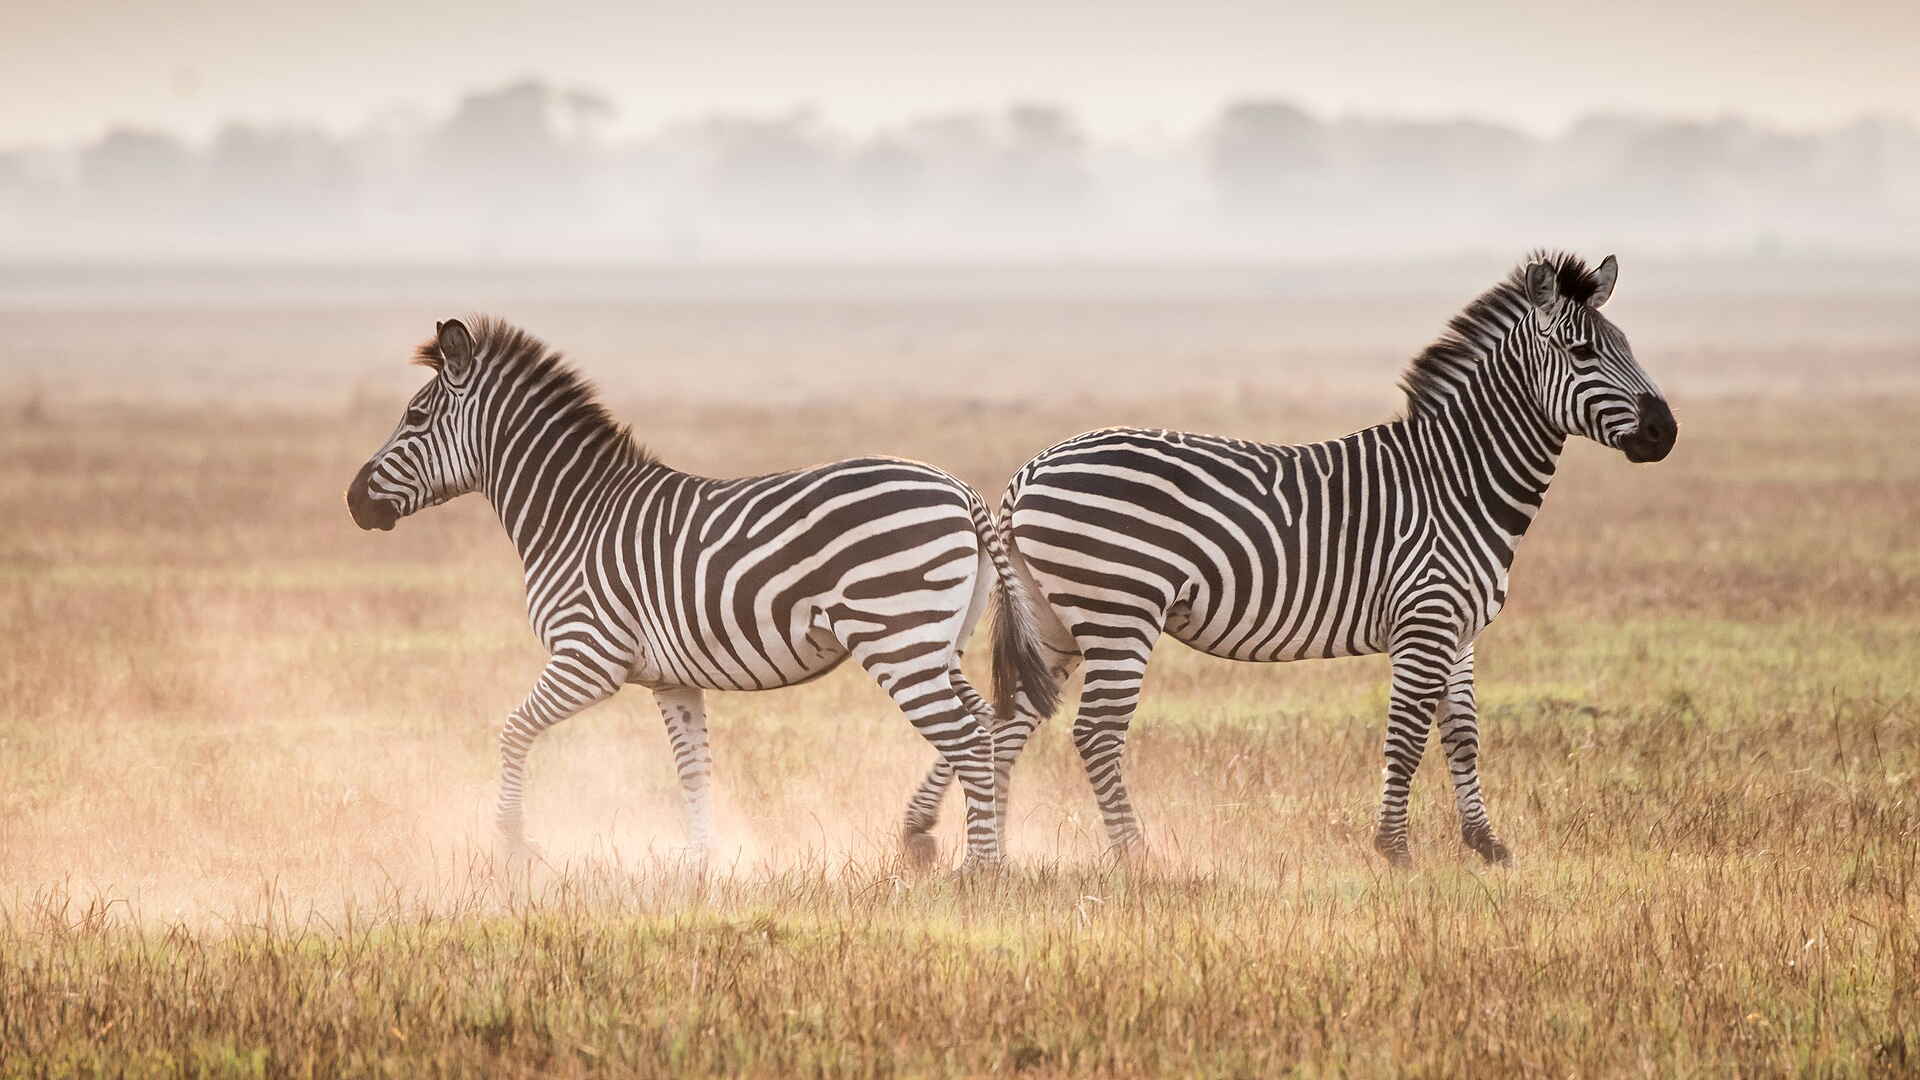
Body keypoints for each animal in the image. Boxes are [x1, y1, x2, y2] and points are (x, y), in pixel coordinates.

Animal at [344, 317, 1061, 870]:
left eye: (414, 416)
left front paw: (513, 847)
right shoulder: (671, 677)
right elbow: (693, 766)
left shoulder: (588, 657)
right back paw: (954, 845)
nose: (353, 502)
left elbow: (514, 730)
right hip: (935, 639)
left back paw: (979, 870)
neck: (572, 514)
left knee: (966, 737)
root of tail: (962, 492)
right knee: (987, 724)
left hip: (896, 637)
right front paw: (701, 862)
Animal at [906, 251, 1677, 867]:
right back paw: (1134, 856)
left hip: (1055, 619)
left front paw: (1486, 845)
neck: (1457, 480)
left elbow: (1462, 735)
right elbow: (1405, 737)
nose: (1664, 433)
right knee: (1094, 733)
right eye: (1581, 354)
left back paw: (968, 845)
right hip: (1119, 613)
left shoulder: (1457, 630)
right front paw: (1395, 851)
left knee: (1005, 721)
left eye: (1626, 346)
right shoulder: (1423, 621)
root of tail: (1029, 470)